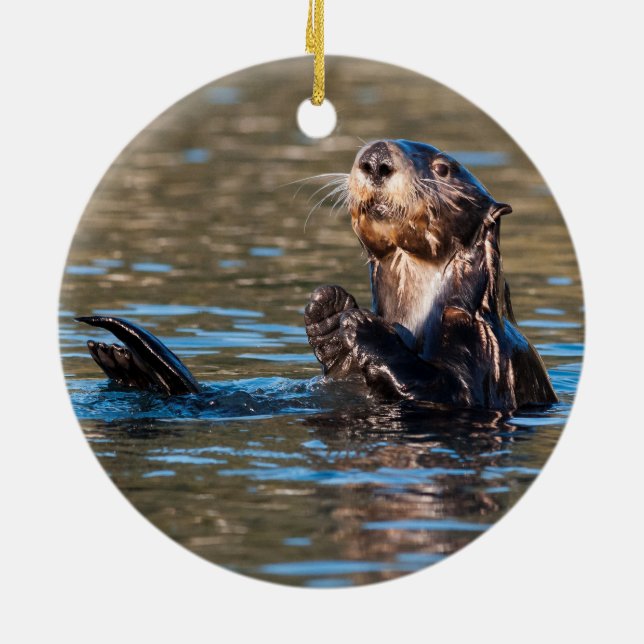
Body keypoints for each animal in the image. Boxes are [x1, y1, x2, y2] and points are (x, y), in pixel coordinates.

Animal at [76, 139, 556, 411]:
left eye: (443, 168)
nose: (376, 159)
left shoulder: (482, 347)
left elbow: (449, 390)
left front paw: (364, 327)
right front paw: (328, 310)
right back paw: (124, 364)